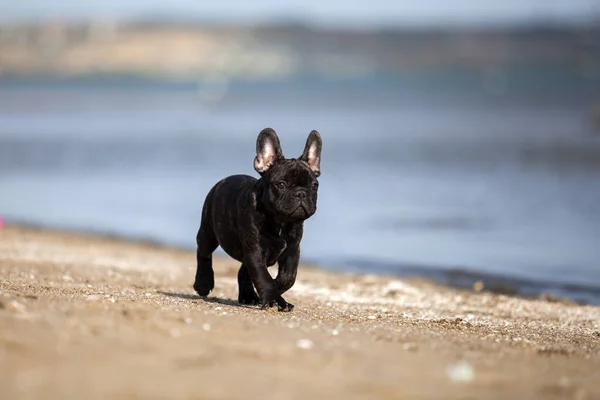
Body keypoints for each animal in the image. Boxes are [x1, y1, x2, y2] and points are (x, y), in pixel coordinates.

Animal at [195, 126, 322, 310]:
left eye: (314, 186)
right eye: (281, 185)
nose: (301, 193)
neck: (281, 222)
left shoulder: (292, 252)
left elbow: (288, 277)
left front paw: (276, 289)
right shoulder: (255, 252)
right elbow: (264, 277)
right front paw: (275, 299)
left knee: (243, 271)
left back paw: (248, 296)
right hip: (208, 231)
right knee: (203, 253)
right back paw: (203, 283)